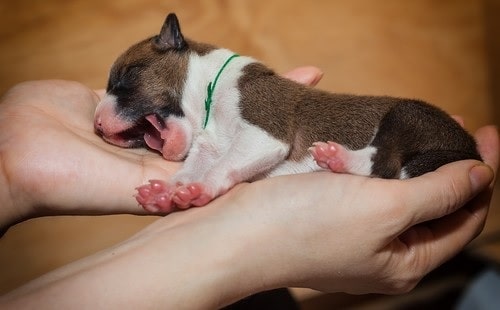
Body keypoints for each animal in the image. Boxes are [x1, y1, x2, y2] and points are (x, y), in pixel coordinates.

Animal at [94, 13, 480, 213]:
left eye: (126, 77)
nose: (96, 124)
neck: (208, 96)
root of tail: (469, 150)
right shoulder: (208, 146)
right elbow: (194, 166)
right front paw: (170, 189)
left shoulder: (263, 128)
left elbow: (221, 166)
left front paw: (200, 188)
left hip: (407, 115)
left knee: (383, 164)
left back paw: (339, 158)